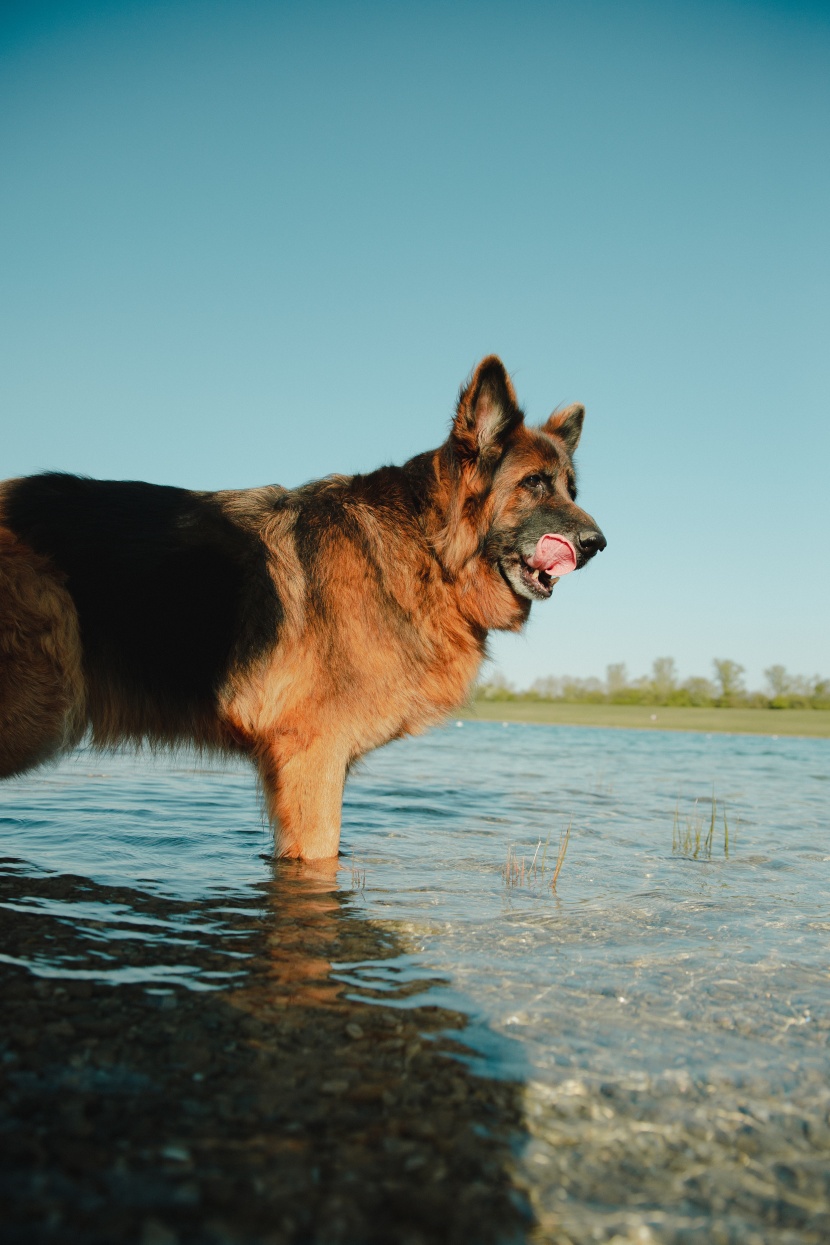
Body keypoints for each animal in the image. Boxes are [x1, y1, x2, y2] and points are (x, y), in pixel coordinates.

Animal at [3, 358, 607, 856]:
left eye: (571, 489)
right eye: (534, 484)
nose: (598, 544)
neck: (426, 546)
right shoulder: (312, 757)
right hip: (39, 706)